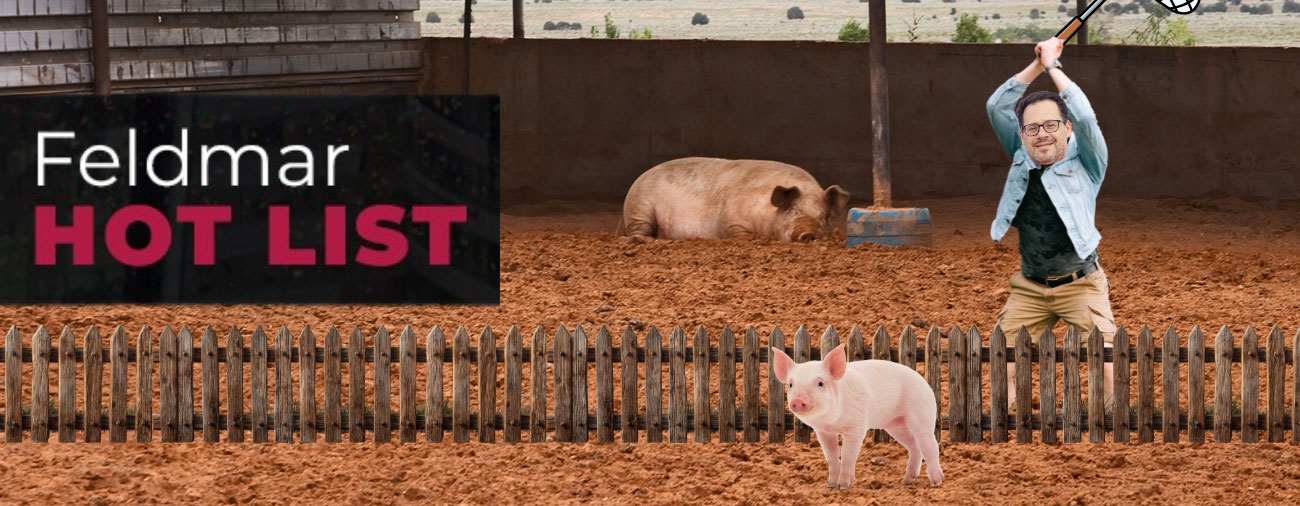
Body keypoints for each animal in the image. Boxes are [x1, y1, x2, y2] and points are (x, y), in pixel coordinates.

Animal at [618, 157, 850, 242]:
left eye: (824, 216)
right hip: (640, 207)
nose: (809, 234)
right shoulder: (730, 221)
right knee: (638, 231)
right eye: (793, 210)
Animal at [771, 344, 943, 490]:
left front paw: (843, 486)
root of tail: (925, 382)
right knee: (914, 447)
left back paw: (936, 482)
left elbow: (848, 455)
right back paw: (906, 481)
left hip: (921, 413)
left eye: (820, 383)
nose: (797, 400)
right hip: (896, 425)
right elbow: (831, 455)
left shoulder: (857, 426)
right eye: (790, 384)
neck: (833, 421)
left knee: (930, 445)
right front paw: (830, 485)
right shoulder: (823, 431)